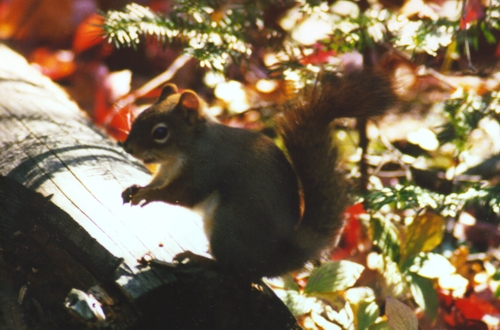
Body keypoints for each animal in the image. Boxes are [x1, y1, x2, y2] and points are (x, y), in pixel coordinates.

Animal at [121, 71, 394, 280]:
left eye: (160, 132)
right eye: (140, 115)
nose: (128, 148)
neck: (180, 154)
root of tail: (271, 262)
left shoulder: (206, 166)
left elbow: (181, 194)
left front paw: (148, 195)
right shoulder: (165, 171)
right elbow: (157, 182)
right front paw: (134, 189)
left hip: (228, 223)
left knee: (234, 269)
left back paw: (199, 259)